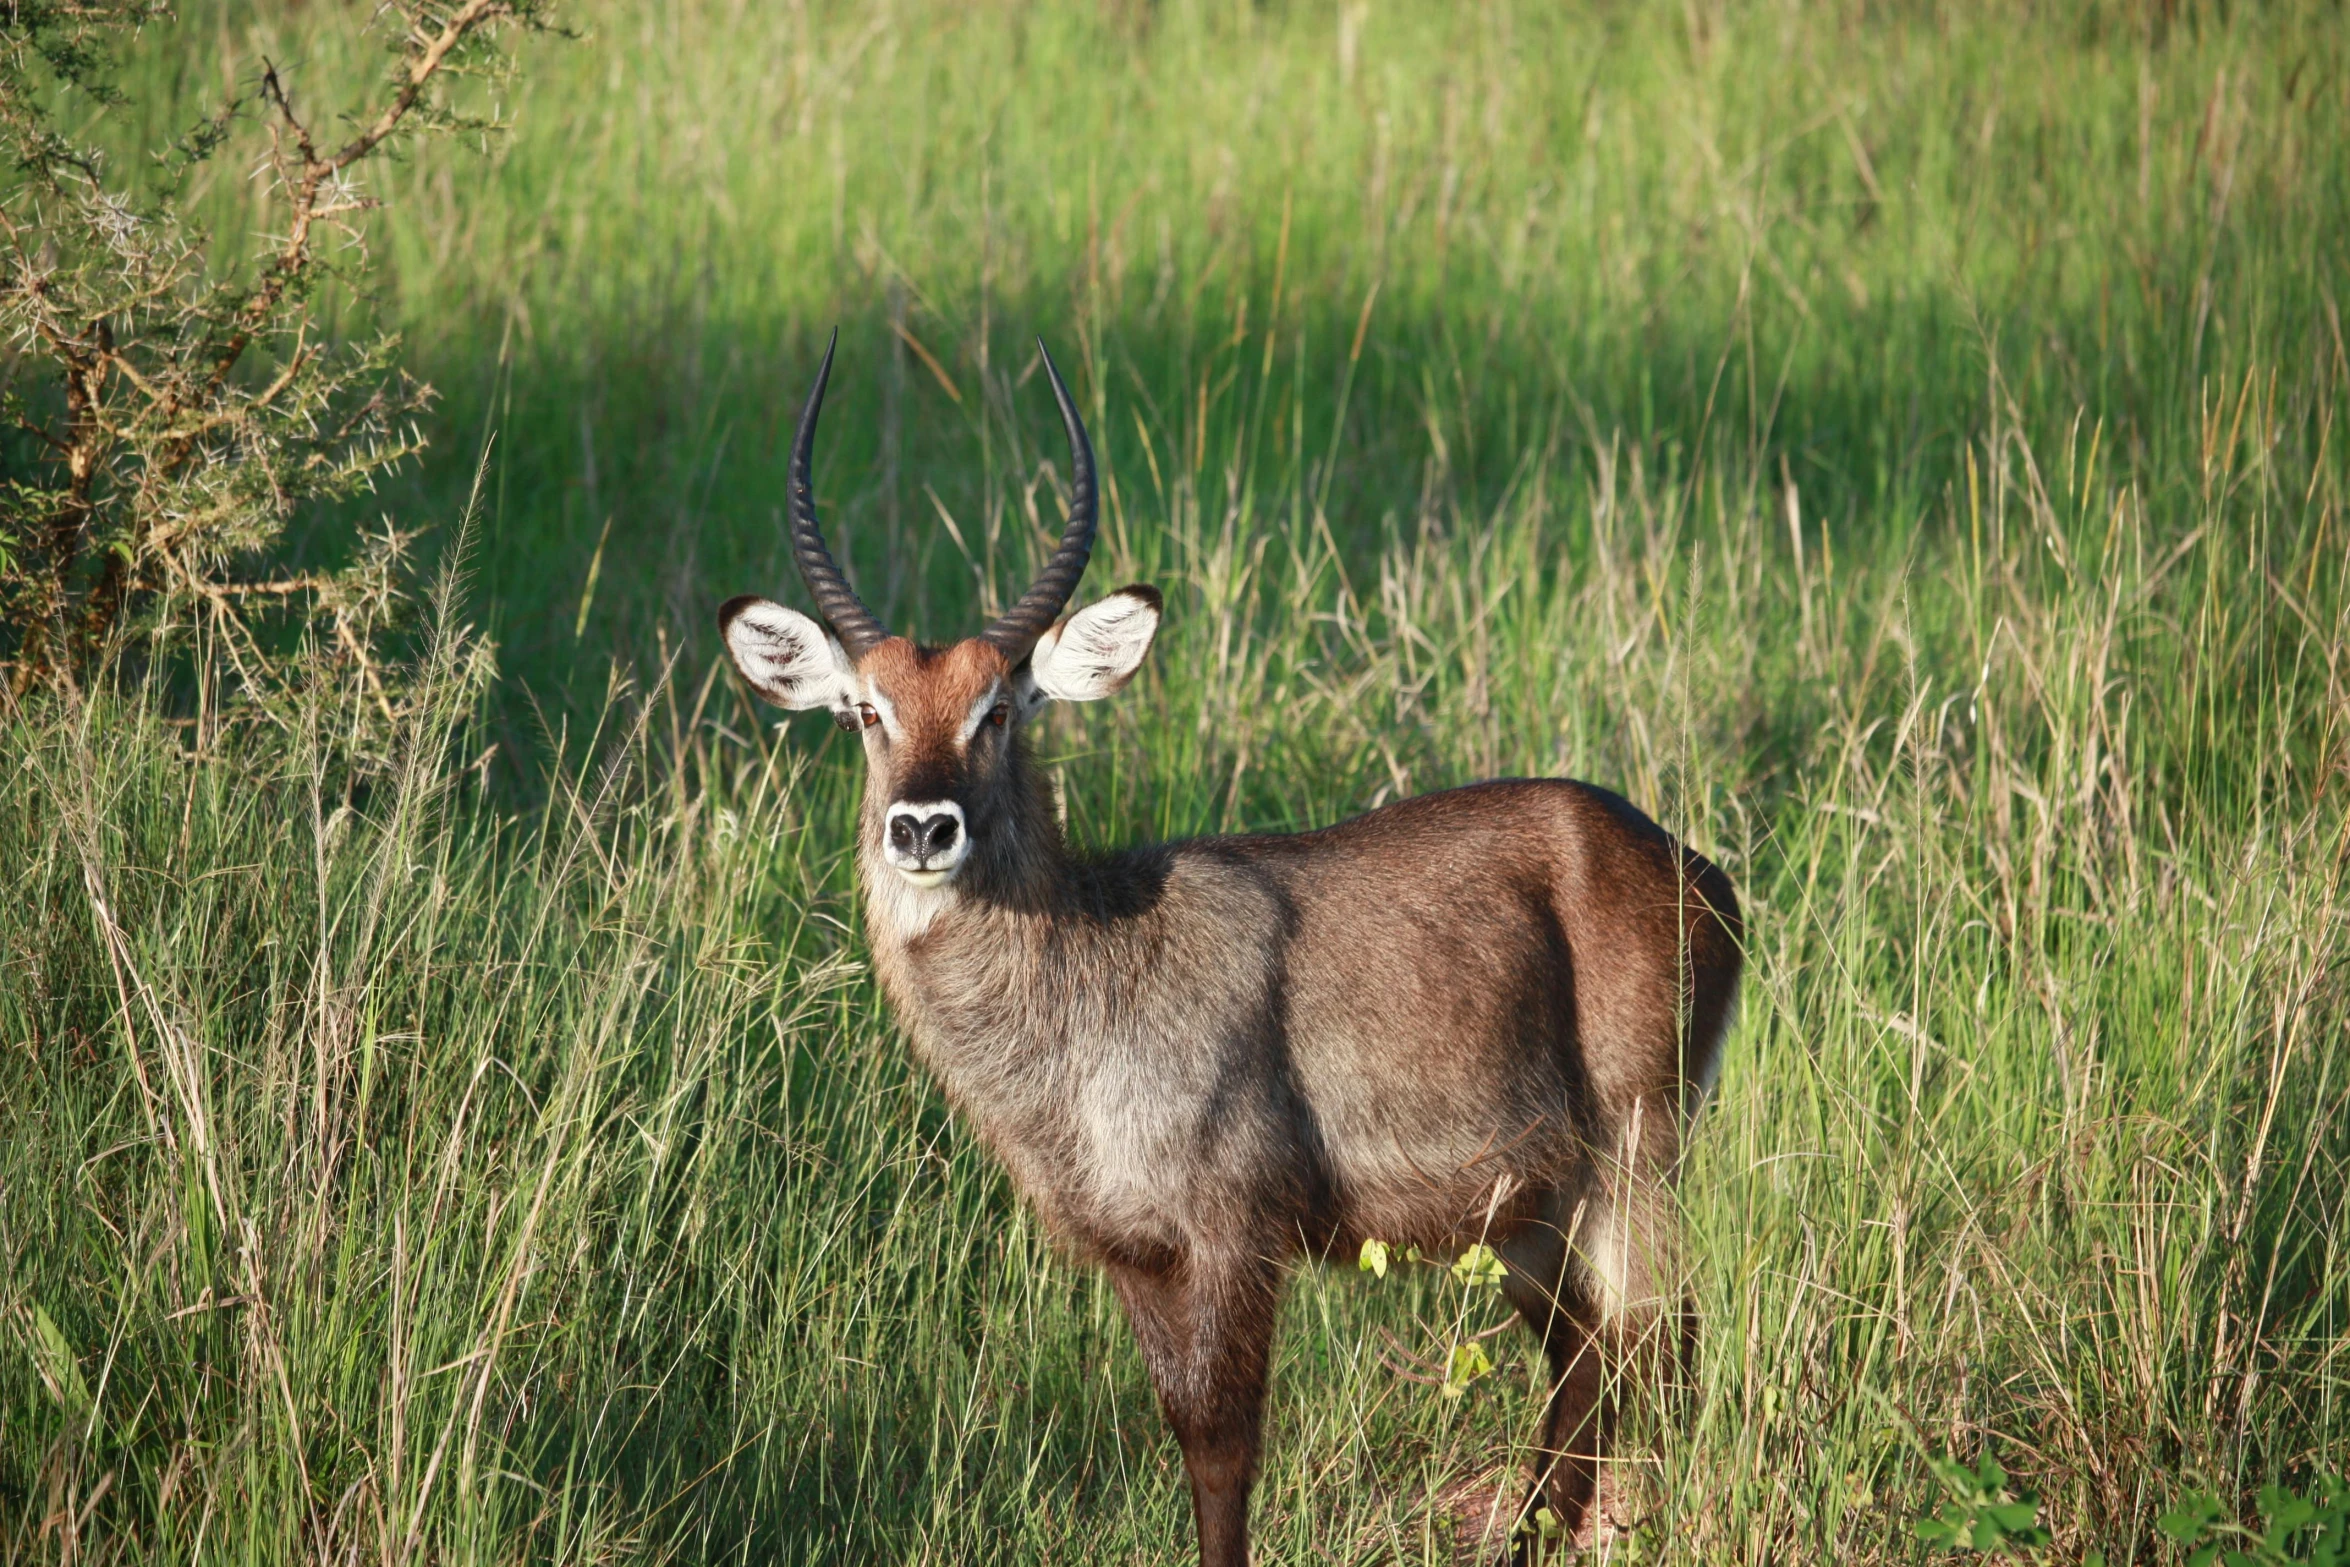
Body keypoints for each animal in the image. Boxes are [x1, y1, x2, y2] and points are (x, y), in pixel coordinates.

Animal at [714, 338, 1748, 1559]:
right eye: (866, 712)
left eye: (998, 708)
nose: (923, 827)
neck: (1088, 978)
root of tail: (1689, 864)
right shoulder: (1132, 1251)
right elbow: (1186, 1432)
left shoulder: (1233, 1232)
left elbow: (1222, 1452)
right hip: (1532, 1206)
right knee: (1585, 1352)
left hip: (1635, 1155)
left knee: (1657, 1342)